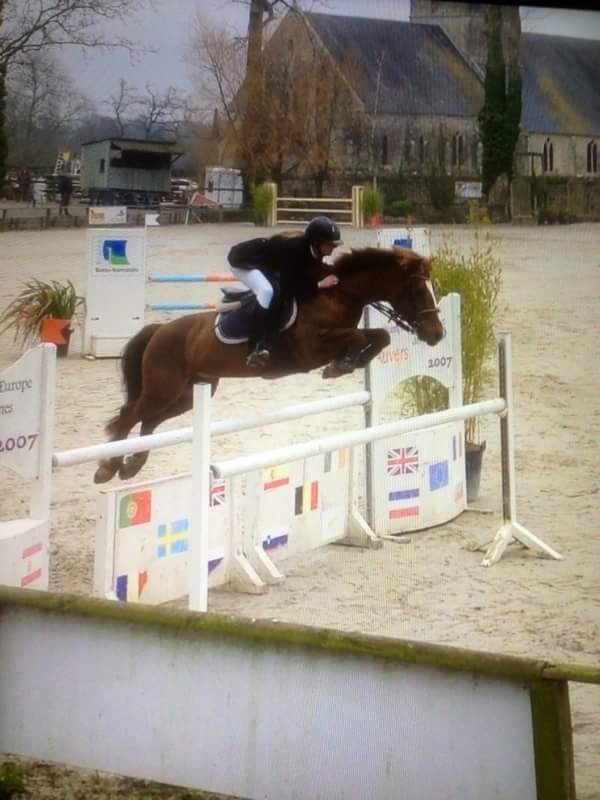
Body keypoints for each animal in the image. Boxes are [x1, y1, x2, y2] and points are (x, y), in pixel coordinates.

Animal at [93, 246, 444, 483]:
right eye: (417, 290)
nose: (437, 334)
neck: (337, 295)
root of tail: (159, 330)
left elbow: (379, 336)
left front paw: (347, 363)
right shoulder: (310, 350)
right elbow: (360, 337)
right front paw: (341, 365)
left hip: (186, 394)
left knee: (149, 421)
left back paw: (131, 465)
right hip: (164, 388)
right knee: (130, 415)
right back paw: (108, 467)